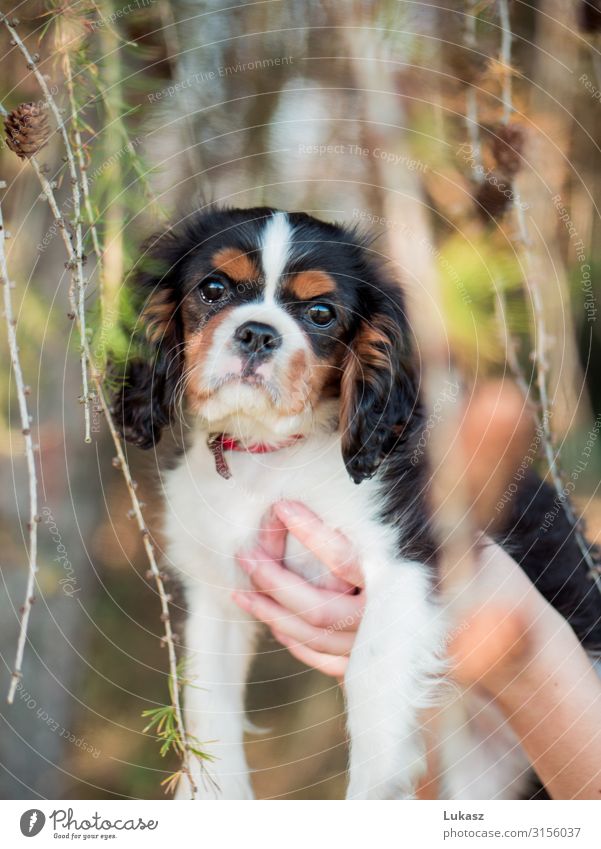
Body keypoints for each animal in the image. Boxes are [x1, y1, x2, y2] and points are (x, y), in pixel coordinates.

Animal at [116, 205, 600, 796]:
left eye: (322, 313)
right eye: (213, 289)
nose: (257, 334)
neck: (271, 454)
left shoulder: (408, 561)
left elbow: (370, 673)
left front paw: (372, 789)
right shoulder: (217, 592)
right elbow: (207, 698)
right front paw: (214, 792)